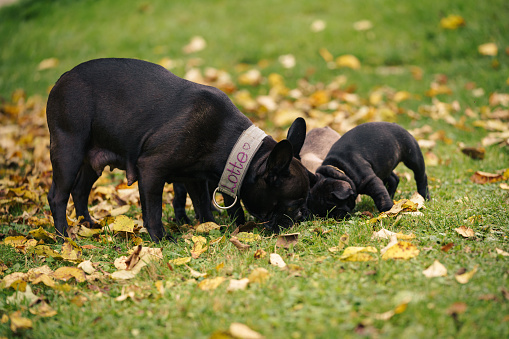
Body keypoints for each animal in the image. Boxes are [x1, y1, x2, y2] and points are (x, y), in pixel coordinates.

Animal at [46, 57, 310, 242]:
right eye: (293, 204)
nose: (301, 216)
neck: (233, 144)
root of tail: (62, 79)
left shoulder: (195, 177)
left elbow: (202, 204)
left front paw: (211, 226)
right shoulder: (151, 169)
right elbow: (153, 210)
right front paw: (161, 239)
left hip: (91, 160)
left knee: (80, 190)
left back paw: (88, 225)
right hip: (69, 149)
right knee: (58, 196)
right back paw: (64, 237)